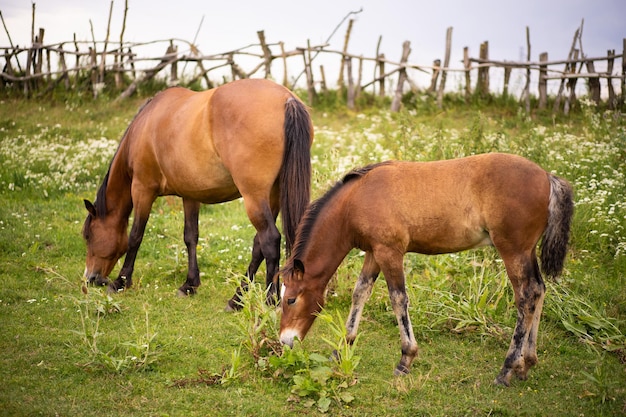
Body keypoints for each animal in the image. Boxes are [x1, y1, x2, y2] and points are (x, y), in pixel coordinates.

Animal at [81, 77, 312, 308]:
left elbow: (135, 235)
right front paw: (189, 284)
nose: (91, 278)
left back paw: (269, 300)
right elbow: (190, 236)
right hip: (273, 195)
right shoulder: (190, 195)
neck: (145, 125)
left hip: (254, 197)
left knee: (270, 240)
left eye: (88, 235)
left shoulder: (142, 189)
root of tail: (287, 99)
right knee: (259, 244)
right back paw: (237, 298)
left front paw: (121, 281)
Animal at [280, 154, 572, 386]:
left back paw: (507, 368)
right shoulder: (374, 253)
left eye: (290, 299)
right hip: (526, 252)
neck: (357, 199)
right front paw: (343, 346)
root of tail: (547, 177)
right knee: (539, 290)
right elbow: (360, 292)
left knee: (526, 296)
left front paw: (405, 359)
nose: (285, 342)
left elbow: (398, 299)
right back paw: (526, 363)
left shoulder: (390, 253)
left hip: (513, 250)